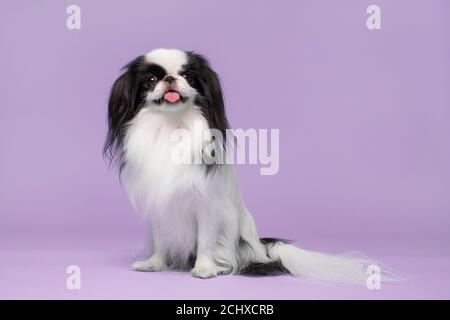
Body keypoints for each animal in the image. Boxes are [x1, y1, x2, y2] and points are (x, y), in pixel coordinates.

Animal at [105, 47, 394, 282]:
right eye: (151, 81)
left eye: (188, 77)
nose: (170, 79)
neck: (171, 126)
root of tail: (259, 248)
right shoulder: (159, 208)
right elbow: (161, 240)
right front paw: (154, 264)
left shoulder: (208, 206)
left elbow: (205, 240)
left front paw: (205, 269)